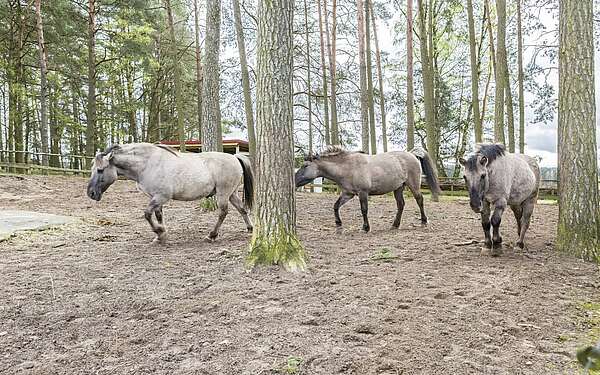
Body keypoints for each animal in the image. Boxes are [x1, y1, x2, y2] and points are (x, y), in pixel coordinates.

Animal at [85, 142, 252, 245]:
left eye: (100, 170)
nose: (91, 193)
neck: (147, 164)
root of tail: (234, 157)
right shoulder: (156, 198)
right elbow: (158, 215)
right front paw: (160, 236)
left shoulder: (161, 197)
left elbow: (147, 214)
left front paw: (160, 232)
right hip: (232, 194)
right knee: (242, 209)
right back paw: (250, 229)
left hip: (223, 194)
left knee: (223, 212)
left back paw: (211, 235)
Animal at [294, 146, 440, 232]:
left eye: (305, 165)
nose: (294, 180)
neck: (348, 167)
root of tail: (411, 154)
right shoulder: (348, 194)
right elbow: (336, 206)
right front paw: (338, 223)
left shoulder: (362, 193)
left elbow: (364, 210)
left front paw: (365, 227)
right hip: (398, 188)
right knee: (401, 204)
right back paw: (395, 225)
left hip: (413, 185)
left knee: (419, 200)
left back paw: (424, 221)